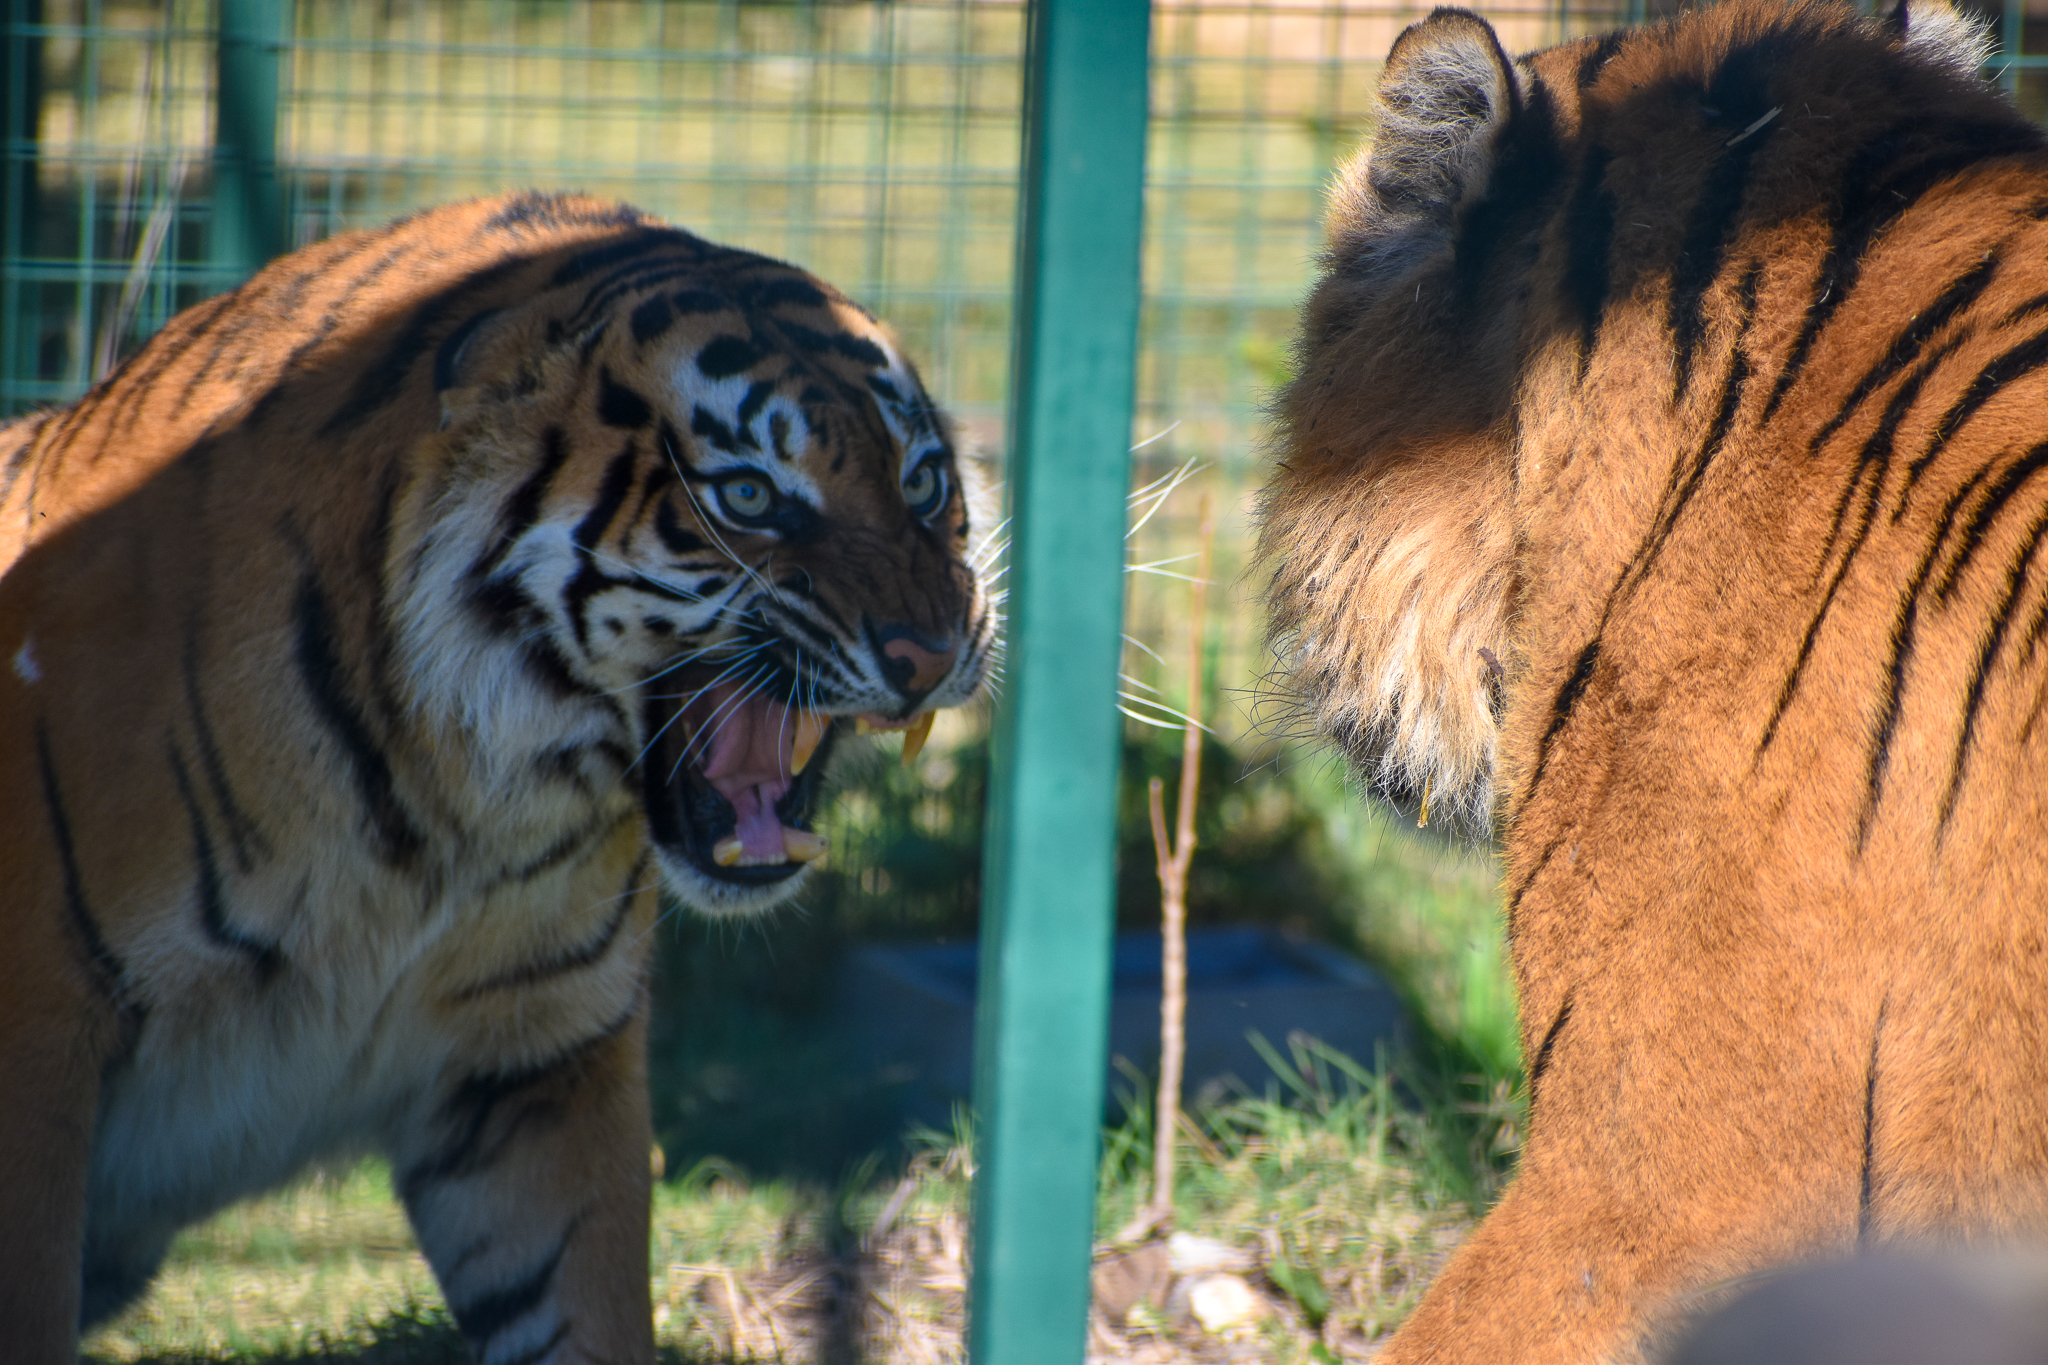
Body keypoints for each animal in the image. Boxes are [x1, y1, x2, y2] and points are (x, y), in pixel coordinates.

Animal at [0, 190, 991, 1363]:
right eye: (749, 496)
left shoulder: (537, 1064)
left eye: (922, 482)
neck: (451, 811)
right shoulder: (35, 1053)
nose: (934, 650)